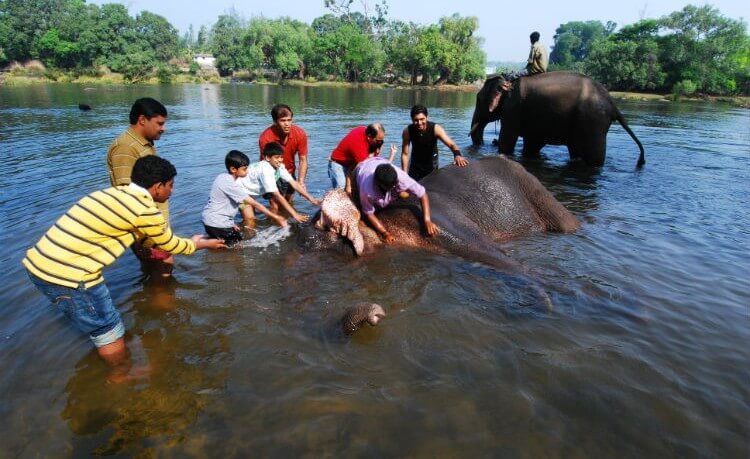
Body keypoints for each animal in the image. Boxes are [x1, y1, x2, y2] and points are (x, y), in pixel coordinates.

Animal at [470, 70, 648, 167]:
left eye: (478, 99)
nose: (483, 144)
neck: (506, 79)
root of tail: (612, 104)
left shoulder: (513, 109)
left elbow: (507, 140)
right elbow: (532, 144)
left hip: (592, 121)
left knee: (594, 158)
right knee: (576, 151)